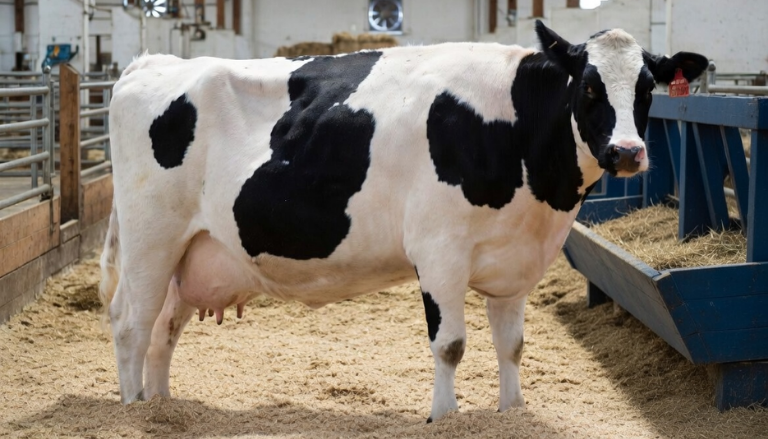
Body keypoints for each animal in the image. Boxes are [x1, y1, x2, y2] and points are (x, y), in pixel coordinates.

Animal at [99, 21, 707, 422]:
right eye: (588, 86)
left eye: (647, 89)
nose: (627, 152)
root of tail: (150, 63)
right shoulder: (439, 250)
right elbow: (451, 345)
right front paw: (444, 418)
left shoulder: (515, 261)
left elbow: (511, 346)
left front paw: (511, 411)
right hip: (151, 237)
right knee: (132, 323)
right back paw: (131, 411)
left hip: (191, 250)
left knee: (163, 329)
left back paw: (161, 408)